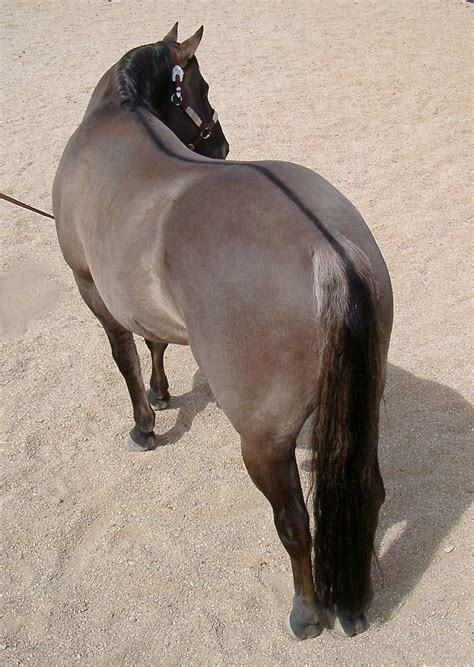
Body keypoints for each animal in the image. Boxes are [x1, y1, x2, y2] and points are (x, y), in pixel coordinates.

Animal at [52, 23, 393, 640]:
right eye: (203, 87)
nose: (221, 146)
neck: (117, 115)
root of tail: (325, 245)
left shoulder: (92, 289)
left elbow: (125, 359)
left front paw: (144, 424)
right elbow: (154, 341)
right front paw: (163, 392)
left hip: (263, 441)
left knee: (294, 522)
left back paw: (306, 612)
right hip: (364, 405)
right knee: (368, 490)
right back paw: (356, 603)